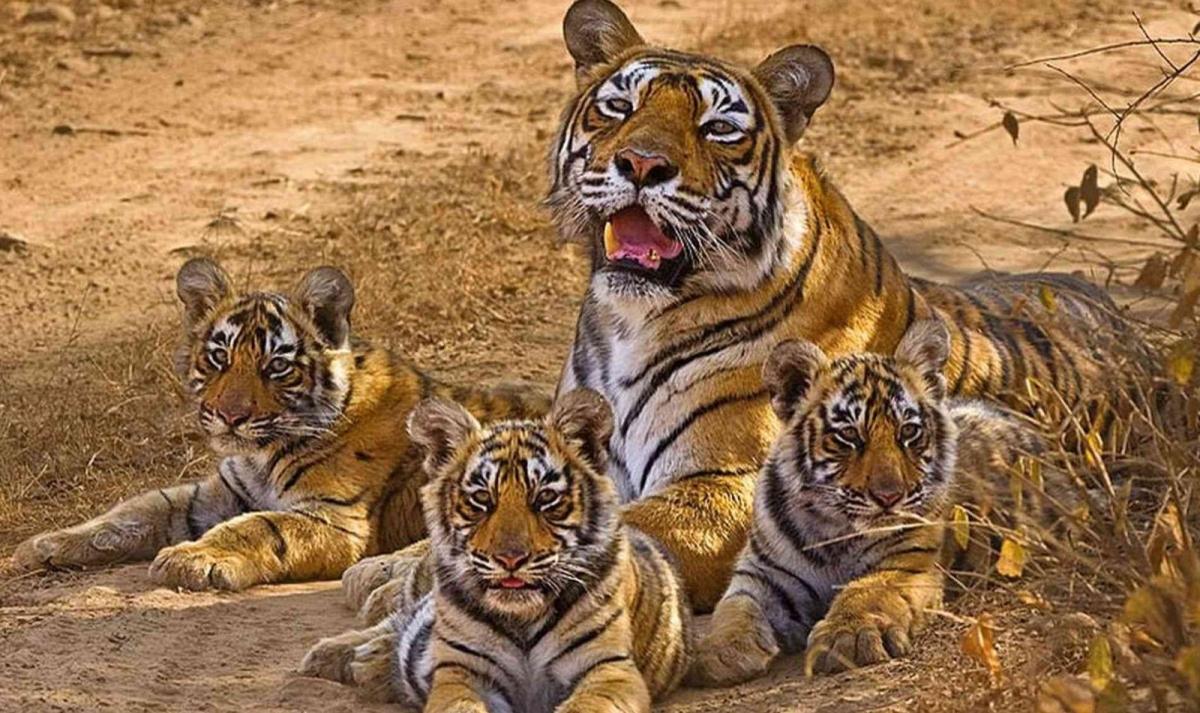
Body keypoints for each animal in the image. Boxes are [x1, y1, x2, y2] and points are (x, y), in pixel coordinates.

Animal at [11, 258, 547, 591]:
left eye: (276, 367)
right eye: (219, 357)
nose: (230, 416)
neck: (262, 453)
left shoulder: (334, 518)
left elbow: (259, 527)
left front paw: (192, 559)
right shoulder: (217, 493)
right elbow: (135, 511)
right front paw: (44, 545)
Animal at [301, 389, 691, 713]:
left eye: (545, 498)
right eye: (480, 499)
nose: (510, 559)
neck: (523, 620)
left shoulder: (608, 669)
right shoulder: (462, 672)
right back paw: (338, 656)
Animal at [339, 0, 1146, 620]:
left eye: (717, 128)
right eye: (618, 107)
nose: (642, 165)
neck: (630, 322)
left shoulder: (725, 487)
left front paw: (402, 581)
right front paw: (386, 568)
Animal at [689, 321, 1047, 684]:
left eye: (909, 431)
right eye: (849, 436)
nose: (889, 496)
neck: (833, 529)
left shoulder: (905, 563)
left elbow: (867, 592)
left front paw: (848, 637)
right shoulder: (763, 574)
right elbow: (735, 608)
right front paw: (718, 650)